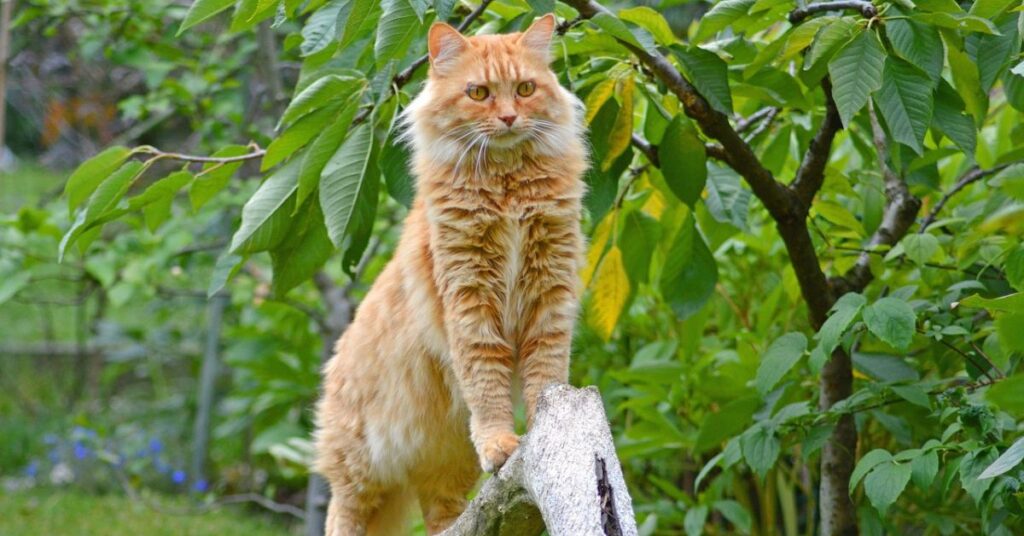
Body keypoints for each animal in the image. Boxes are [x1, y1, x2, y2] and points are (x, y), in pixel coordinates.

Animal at [311, 14, 589, 532]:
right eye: (478, 93)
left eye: (525, 89)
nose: (508, 118)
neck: (508, 190)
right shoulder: (469, 299)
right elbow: (486, 384)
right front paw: (500, 442)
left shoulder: (550, 291)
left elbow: (545, 374)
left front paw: (541, 429)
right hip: (360, 469)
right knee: (343, 511)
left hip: (444, 467)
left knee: (444, 516)